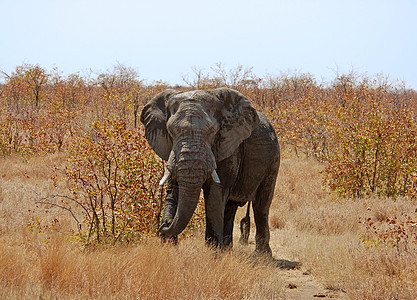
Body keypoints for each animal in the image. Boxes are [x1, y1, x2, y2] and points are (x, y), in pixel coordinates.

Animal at [140, 87, 280, 255]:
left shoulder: (229, 146)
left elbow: (215, 193)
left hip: (273, 159)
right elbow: (175, 189)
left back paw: (262, 255)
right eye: (170, 131)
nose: (163, 225)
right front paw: (169, 244)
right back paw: (227, 249)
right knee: (231, 207)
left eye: (212, 131)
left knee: (261, 206)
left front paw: (213, 253)